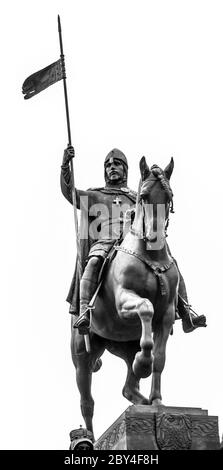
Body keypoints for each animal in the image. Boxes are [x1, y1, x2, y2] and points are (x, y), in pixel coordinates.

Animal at [70, 157, 179, 436]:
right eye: (144, 195)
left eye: (169, 196)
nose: (154, 237)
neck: (150, 256)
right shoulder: (124, 301)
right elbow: (146, 307)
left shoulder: (166, 317)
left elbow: (159, 358)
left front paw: (158, 401)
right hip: (82, 355)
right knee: (86, 401)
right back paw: (88, 436)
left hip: (124, 345)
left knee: (128, 387)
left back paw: (143, 399)